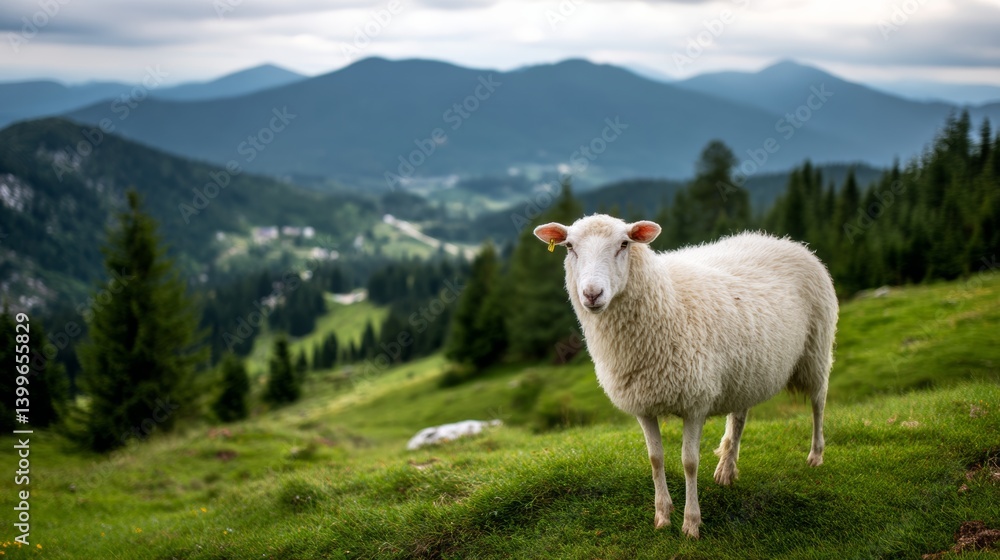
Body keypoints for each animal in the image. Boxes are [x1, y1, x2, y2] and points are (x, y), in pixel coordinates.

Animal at [533, 215, 837, 539]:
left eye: (624, 244)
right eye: (569, 247)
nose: (592, 294)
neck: (666, 298)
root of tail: (786, 241)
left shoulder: (695, 402)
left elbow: (689, 462)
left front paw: (691, 523)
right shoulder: (643, 405)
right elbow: (655, 459)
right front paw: (662, 515)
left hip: (816, 349)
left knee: (818, 403)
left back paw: (816, 455)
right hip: (746, 371)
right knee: (739, 418)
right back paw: (727, 468)